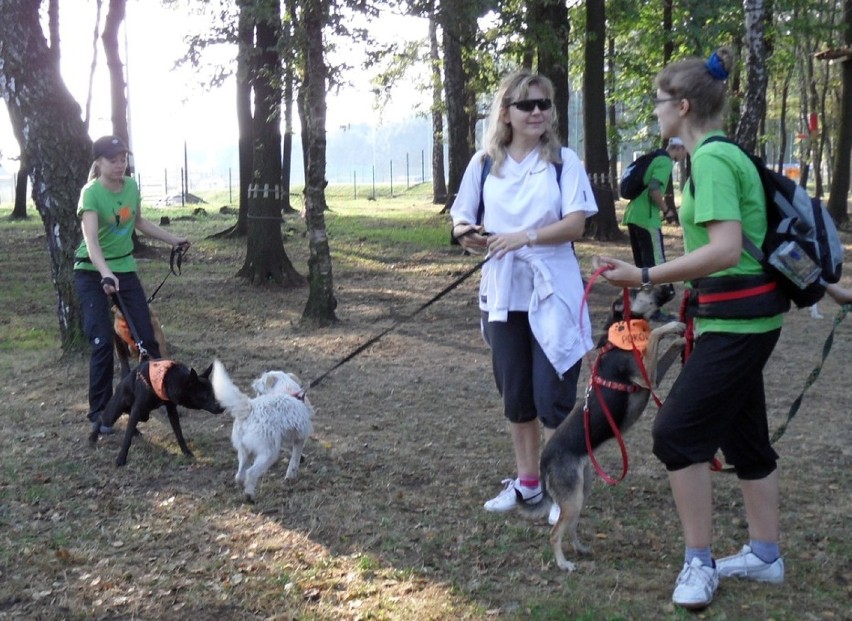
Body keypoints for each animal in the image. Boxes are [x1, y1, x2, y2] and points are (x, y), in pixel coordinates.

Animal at [89, 358, 223, 464]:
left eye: (214, 393)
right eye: (205, 396)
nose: (222, 407)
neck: (169, 378)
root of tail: (124, 379)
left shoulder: (171, 410)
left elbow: (179, 433)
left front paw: (186, 452)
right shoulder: (138, 409)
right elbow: (127, 438)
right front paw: (121, 458)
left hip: (143, 414)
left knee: (129, 416)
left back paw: (136, 431)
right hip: (114, 413)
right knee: (102, 417)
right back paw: (93, 436)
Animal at [212, 360, 312, 502]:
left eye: (261, 386)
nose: (254, 384)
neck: (288, 391)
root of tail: (250, 408)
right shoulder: (299, 438)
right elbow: (295, 458)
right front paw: (291, 474)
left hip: (244, 450)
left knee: (240, 473)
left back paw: (242, 484)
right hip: (269, 453)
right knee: (251, 473)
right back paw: (249, 495)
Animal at [512, 286, 684, 572]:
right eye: (644, 288)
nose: (671, 287)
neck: (621, 333)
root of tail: (544, 461)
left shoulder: (653, 377)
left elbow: (665, 345)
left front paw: (682, 339)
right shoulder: (646, 375)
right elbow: (655, 335)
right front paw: (673, 326)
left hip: (581, 492)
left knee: (570, 527)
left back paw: (580, 548)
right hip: (572, 499)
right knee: (555, 533)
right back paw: (563, 563)